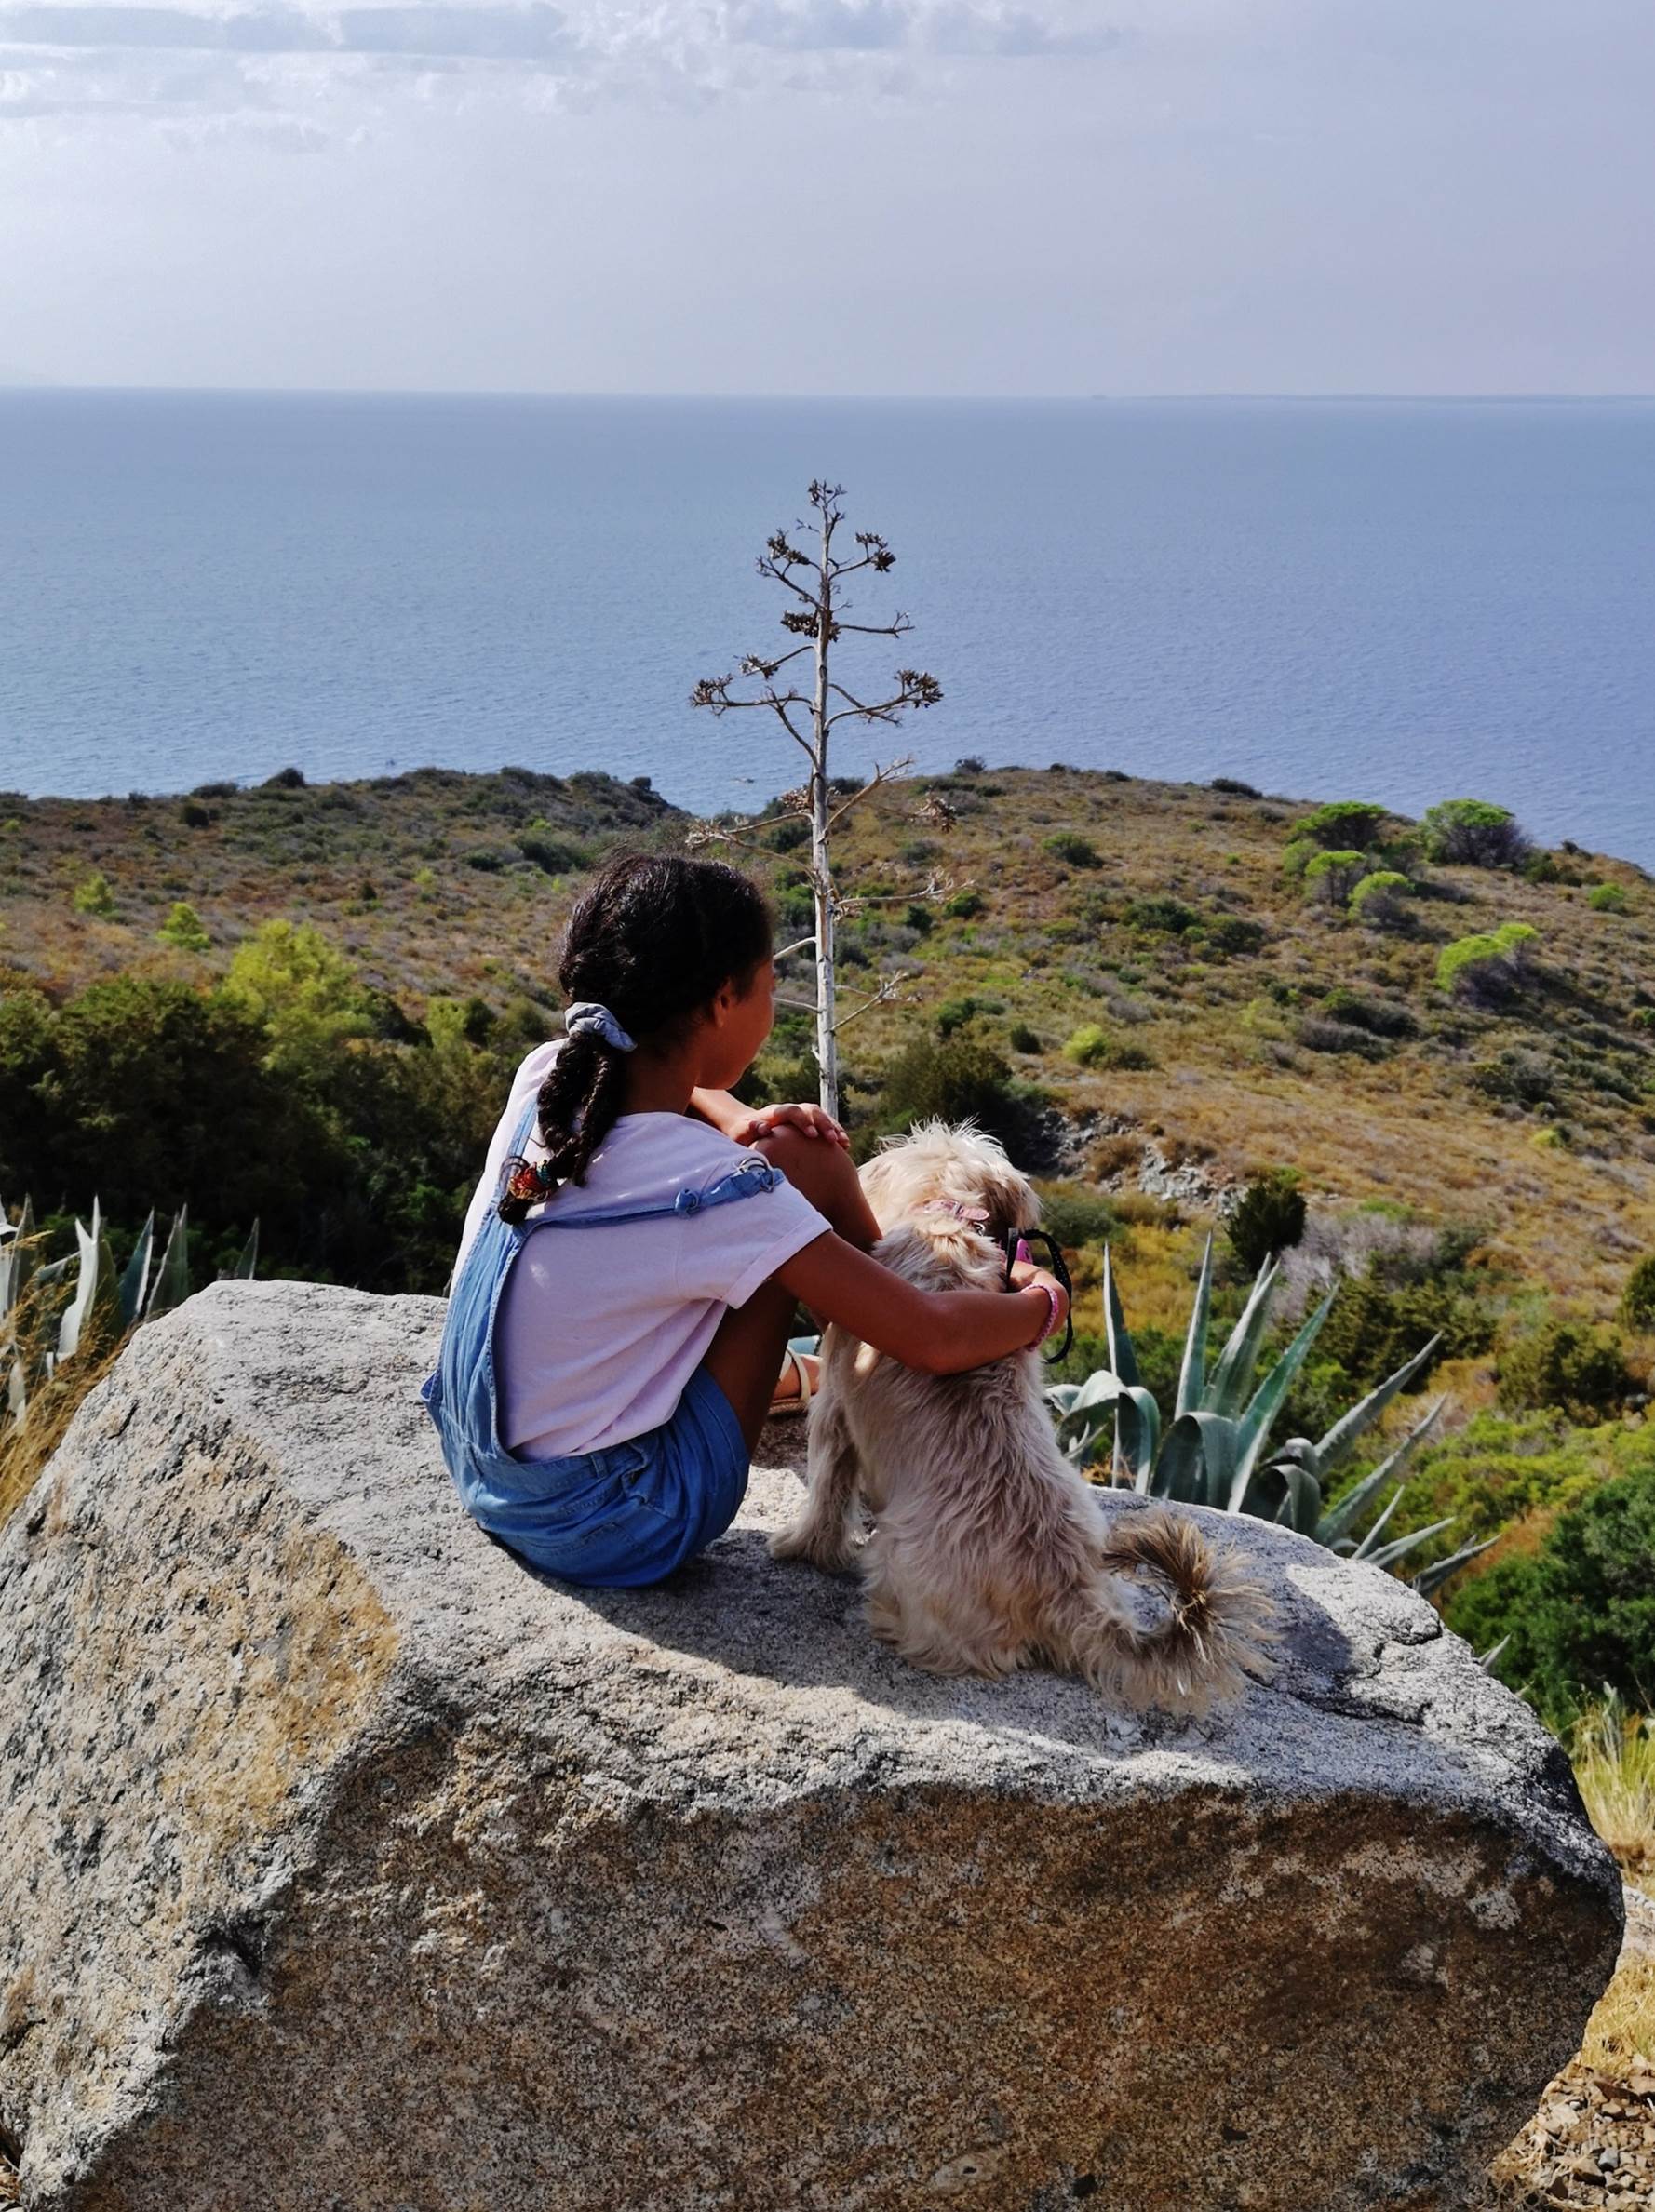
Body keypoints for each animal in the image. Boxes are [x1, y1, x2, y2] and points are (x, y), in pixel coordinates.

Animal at [774, 1123, 1283, 1708]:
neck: (946, 1220)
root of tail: (1069, 1592)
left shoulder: (834, 1408)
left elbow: (827, 1492)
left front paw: (801, 1546)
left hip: (899, 1560)